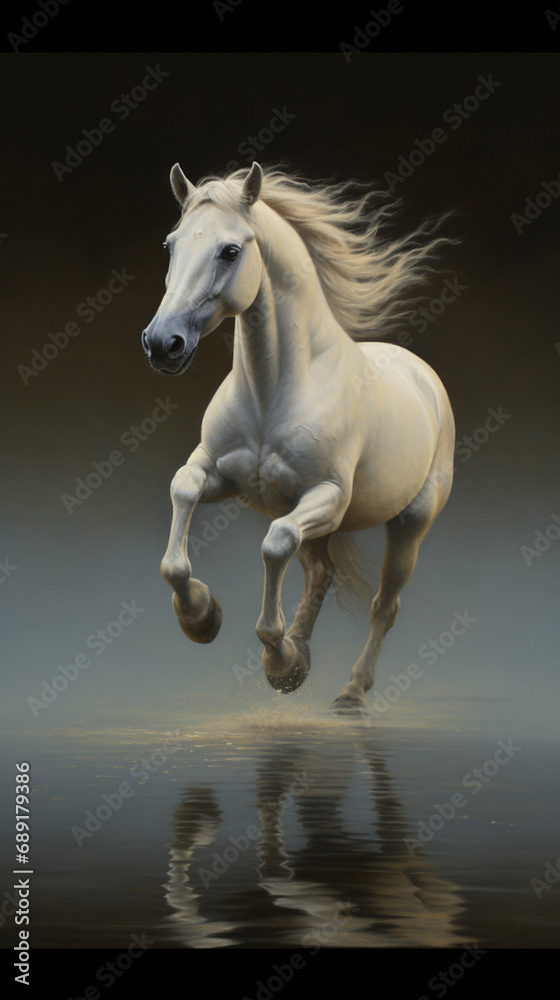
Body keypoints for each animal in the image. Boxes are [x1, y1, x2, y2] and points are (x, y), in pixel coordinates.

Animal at [141, 161, 456, 712]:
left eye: (230, 250)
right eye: (170, 244)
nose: (163, 344)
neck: (276, 391)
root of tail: (422, 375)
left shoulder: (325, 496)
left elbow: (275, 543)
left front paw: (278, 659)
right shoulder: (218, 472)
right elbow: (182, 495)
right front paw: (200, 616)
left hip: (408, 523)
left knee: (384, 604)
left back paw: (350, 693)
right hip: (320, 521)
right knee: (321, 571)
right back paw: (303, 656)